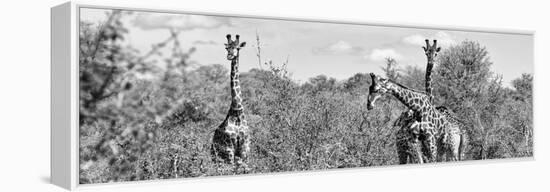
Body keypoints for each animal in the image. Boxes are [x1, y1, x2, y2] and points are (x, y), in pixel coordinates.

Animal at [211, 34, 252, 165]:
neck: (237, 110)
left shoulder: (245, 148)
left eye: (237, 48)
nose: (229, 55)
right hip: (216, 155)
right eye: (227, 48)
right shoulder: (230, 148)